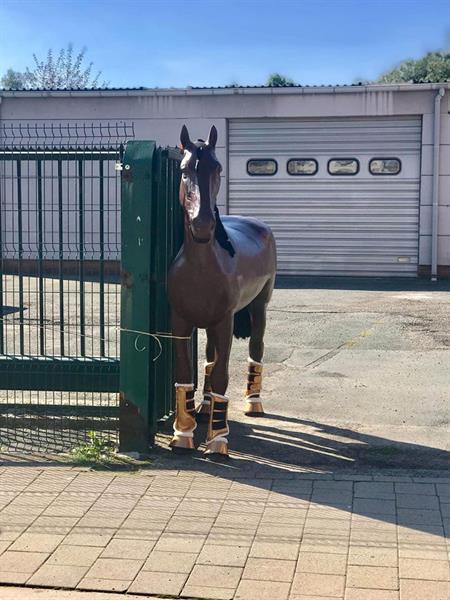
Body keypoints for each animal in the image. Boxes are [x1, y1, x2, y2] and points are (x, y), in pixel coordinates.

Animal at [167, 125, 276, 454]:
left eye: (217, 168)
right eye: (185, 170)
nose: (202, 225)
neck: (202, 266)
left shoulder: (225, 322)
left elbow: (222, 376)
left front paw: (217, 441)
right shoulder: (181, 322)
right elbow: (186, 373)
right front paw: (183, 434)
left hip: (259, 307)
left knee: (256, 348)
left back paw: (254, 403)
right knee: (210, 356)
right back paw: (204, 407)